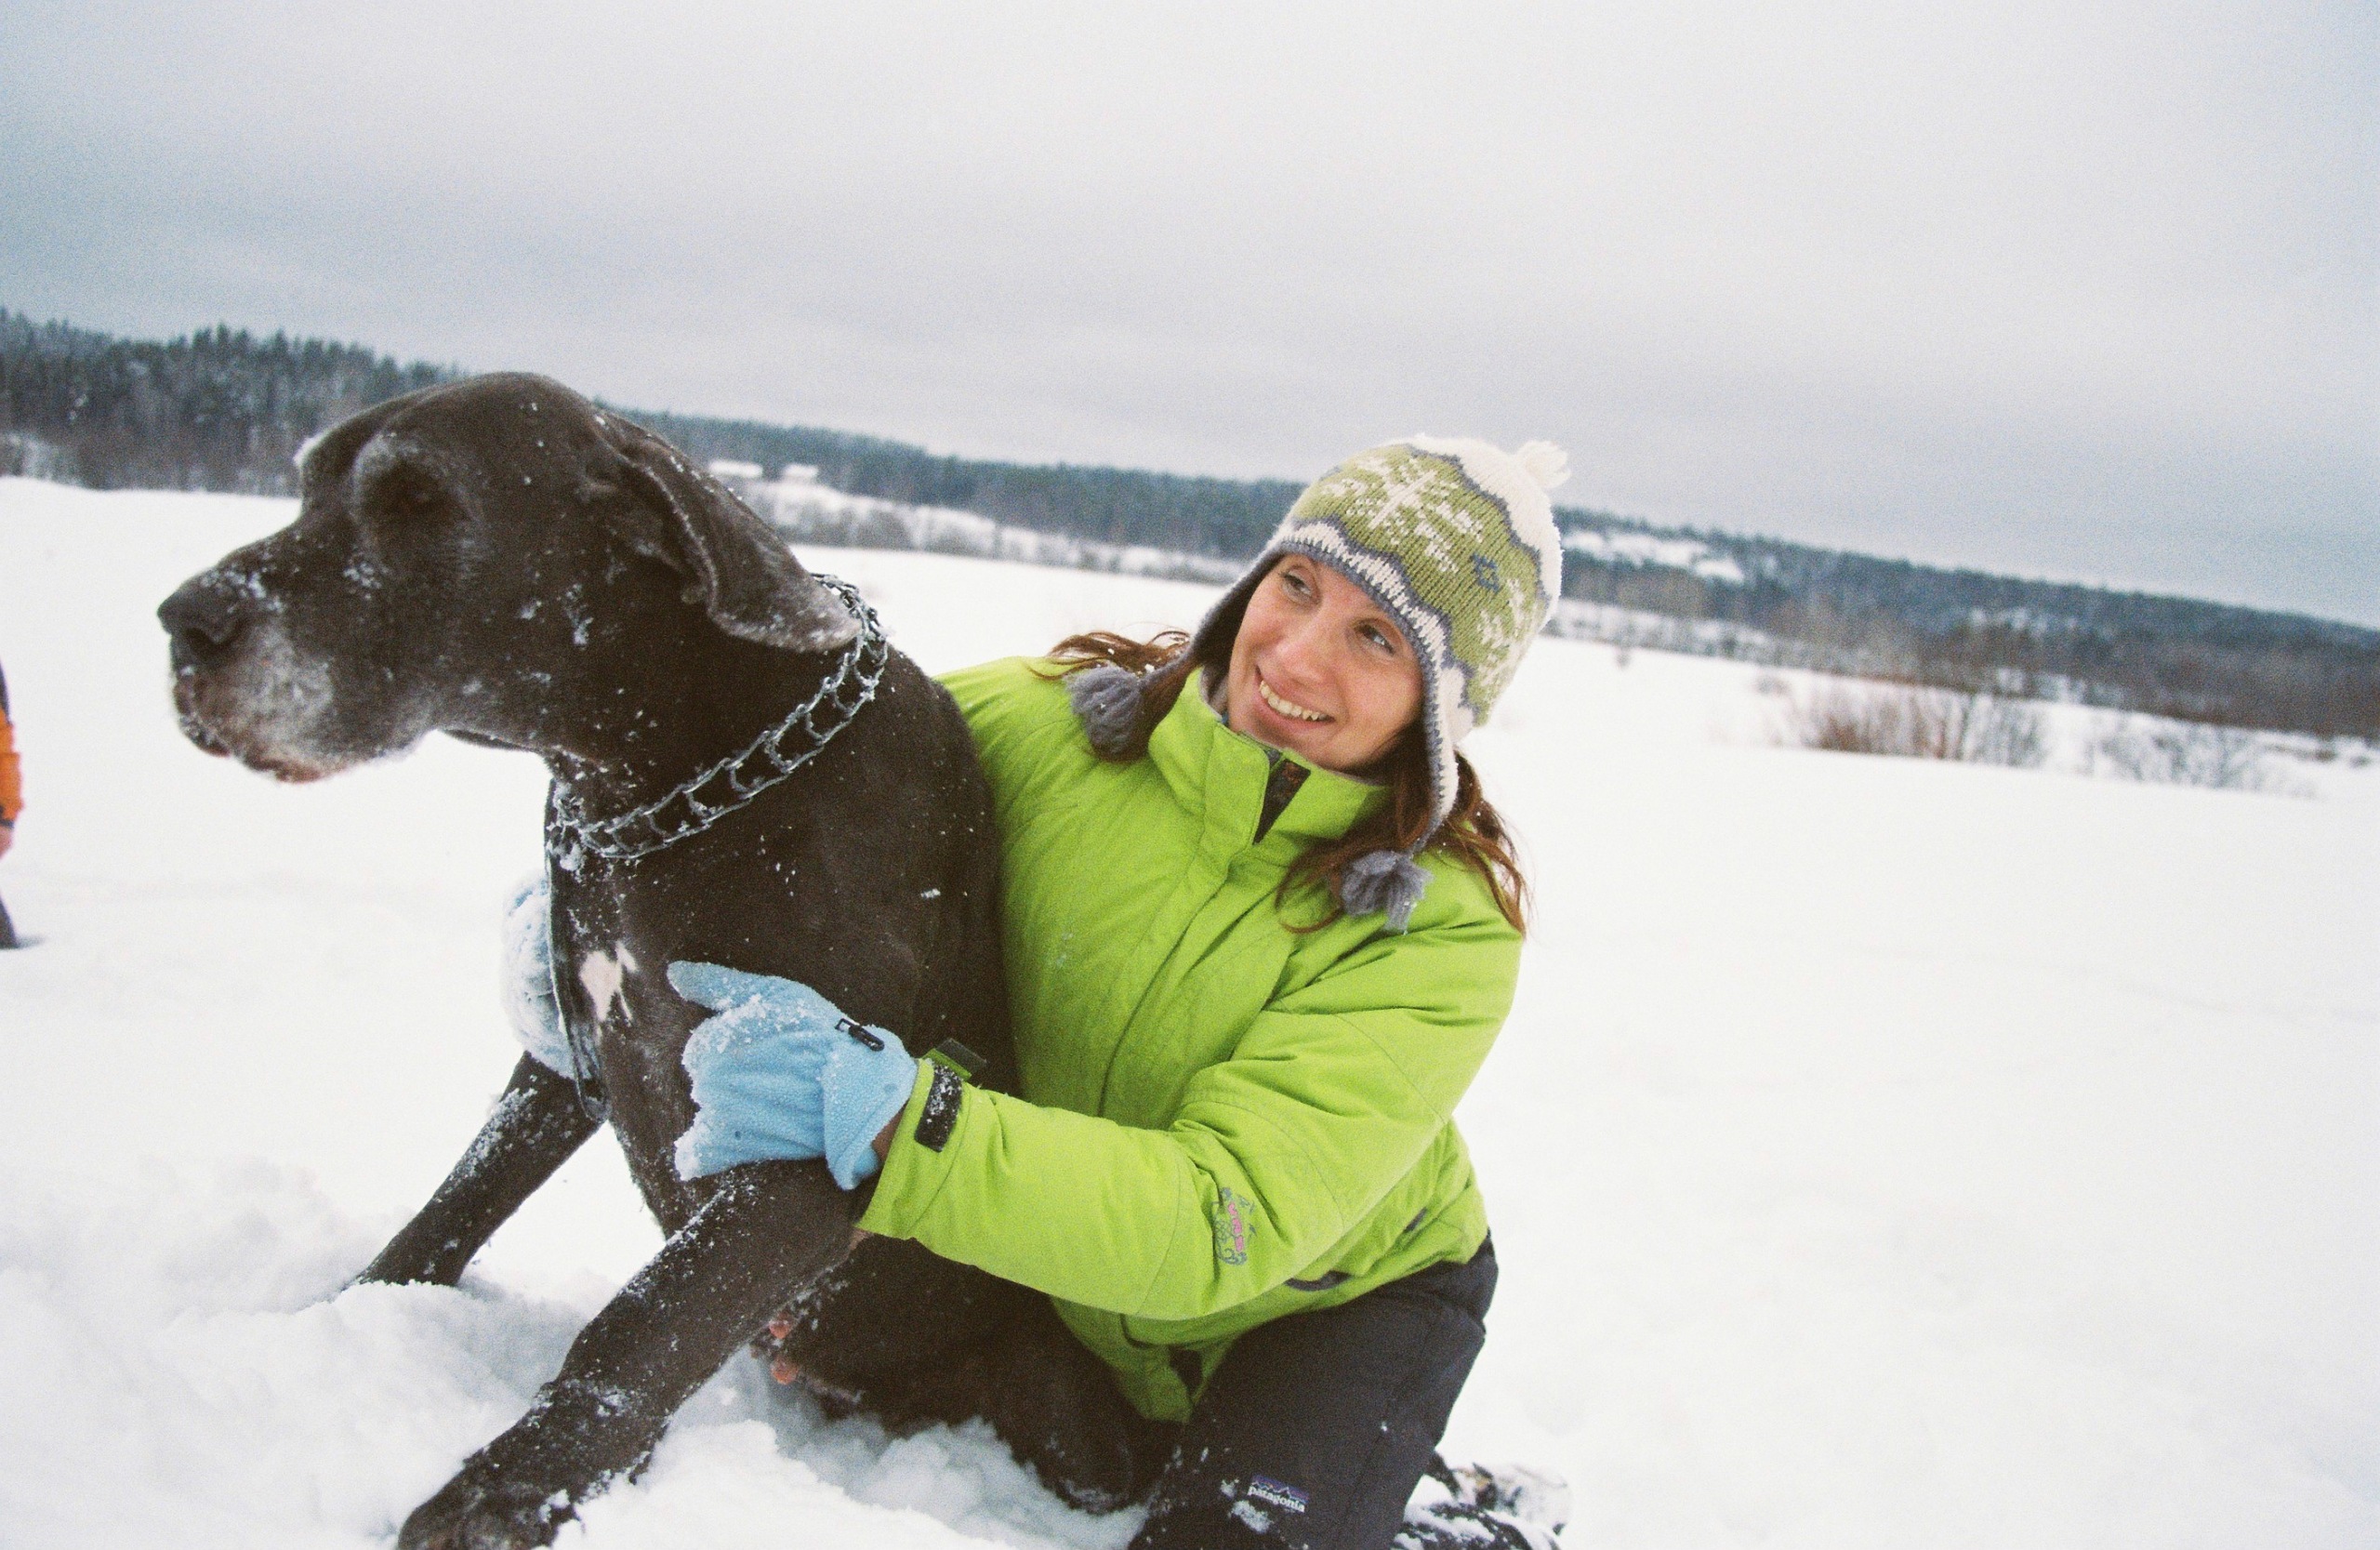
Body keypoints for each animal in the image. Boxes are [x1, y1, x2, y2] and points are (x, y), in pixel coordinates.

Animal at [158, 374, 1018, 1548]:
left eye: (419, 498)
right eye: (305, 483)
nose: (183, 621)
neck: (666, 779)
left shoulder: (813, 1145)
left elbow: (640, 1326)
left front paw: (503, 1494)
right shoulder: (566, 1053)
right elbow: (452, 1206)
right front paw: (340, 1315)